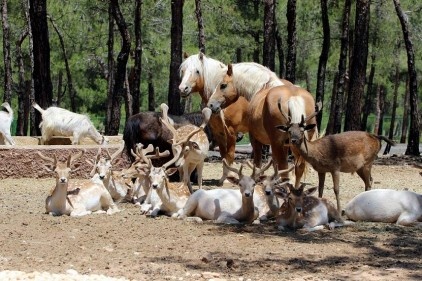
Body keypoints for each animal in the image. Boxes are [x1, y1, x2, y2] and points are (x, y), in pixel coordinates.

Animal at [178, 52, 290, 184]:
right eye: (183, 70)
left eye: (197, 71)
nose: (183, 89)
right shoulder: (219, 133)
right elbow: (223, 155)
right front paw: (224, 177)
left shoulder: (231, 132)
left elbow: (230, 155)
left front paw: (228, 178)